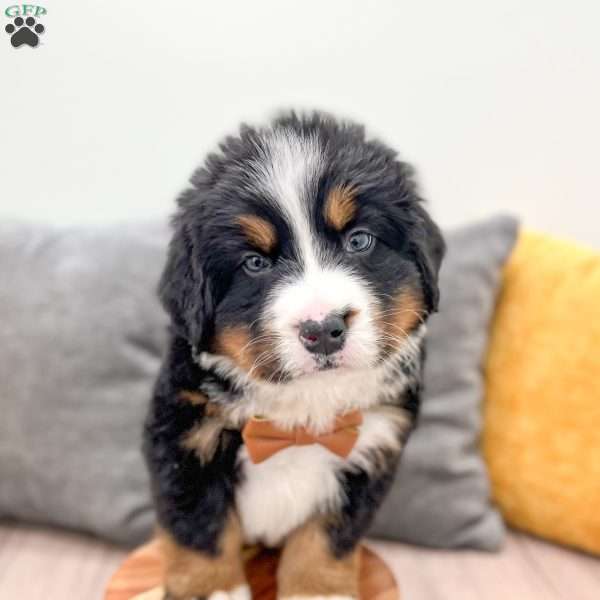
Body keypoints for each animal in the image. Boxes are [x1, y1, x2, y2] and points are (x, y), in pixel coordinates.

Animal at [144, 111, 446, 600]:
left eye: (359, 241)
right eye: (255, 263)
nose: (322, 329)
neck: (304, 412)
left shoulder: (371, 449)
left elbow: (327, 539)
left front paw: (316, 589)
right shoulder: (185, 440)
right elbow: (201, 531)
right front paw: (213, 589)